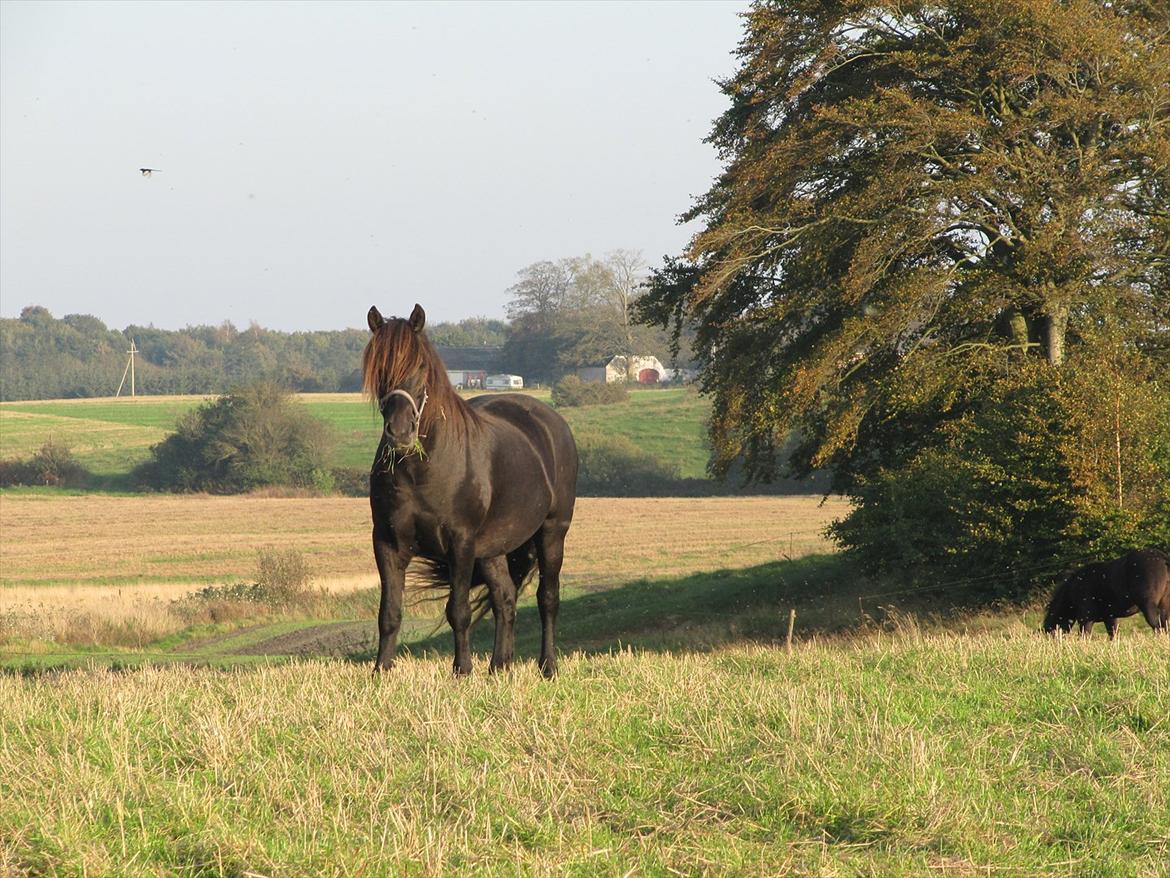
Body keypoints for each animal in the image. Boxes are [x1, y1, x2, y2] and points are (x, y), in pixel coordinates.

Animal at [358, 306, 573, 678]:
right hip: (492, 549)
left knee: (548, 598)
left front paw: (462, 671)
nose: (400, 432)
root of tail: (552, 422)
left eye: (420, 367)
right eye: (379, 369)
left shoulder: (460, 542)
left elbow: (458, 611)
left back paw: (547, 666)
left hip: (551, 532)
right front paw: (381, 672)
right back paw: (499, 666)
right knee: (505, 599)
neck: (422, 469)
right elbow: (389, 614)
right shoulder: (387, 542)